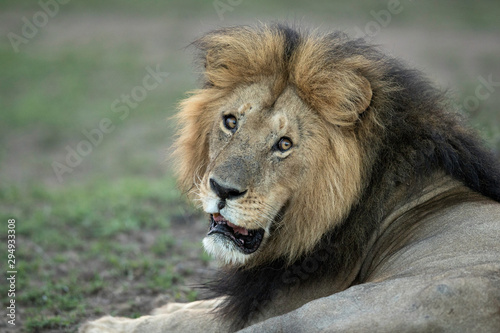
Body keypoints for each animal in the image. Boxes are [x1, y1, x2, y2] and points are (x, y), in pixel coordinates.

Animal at [79, 24, 500, 332]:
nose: (221, 190)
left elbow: (186, 322)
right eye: (230, 122)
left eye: (283, 144)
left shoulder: (272, 306)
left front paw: (107, 324)